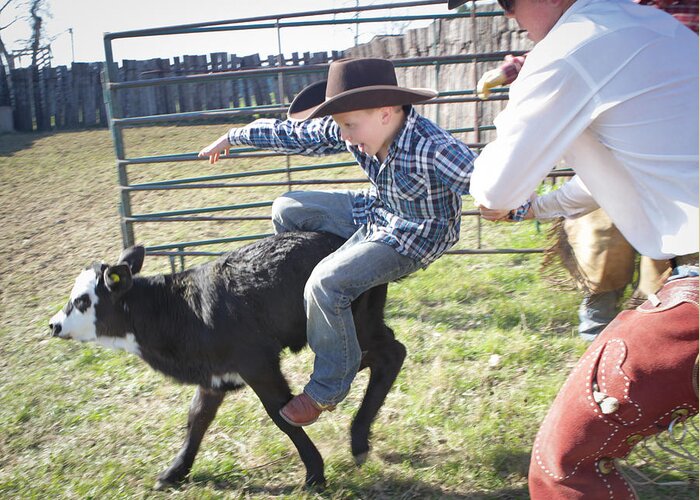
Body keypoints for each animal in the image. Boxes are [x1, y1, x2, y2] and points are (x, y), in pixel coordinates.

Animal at [49, 232, 408, 490]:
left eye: (82, 301)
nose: (53, 325)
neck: (178, 310)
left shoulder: (258, 365)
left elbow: (282, 415)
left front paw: (315, 474)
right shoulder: (214, 376)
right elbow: (197, 419)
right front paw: (174, 472)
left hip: (356, 327)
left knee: (389, 354)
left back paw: (358, 440)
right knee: (381, 356)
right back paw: (358, 437)